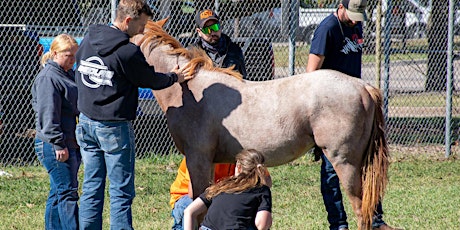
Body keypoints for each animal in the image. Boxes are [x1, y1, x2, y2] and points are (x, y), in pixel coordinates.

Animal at [132, 18, 388, 229]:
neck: (190, 90)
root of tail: (363, 86)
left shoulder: (198, 159)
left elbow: (198, 209)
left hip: (345, 162)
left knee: (361, 210)